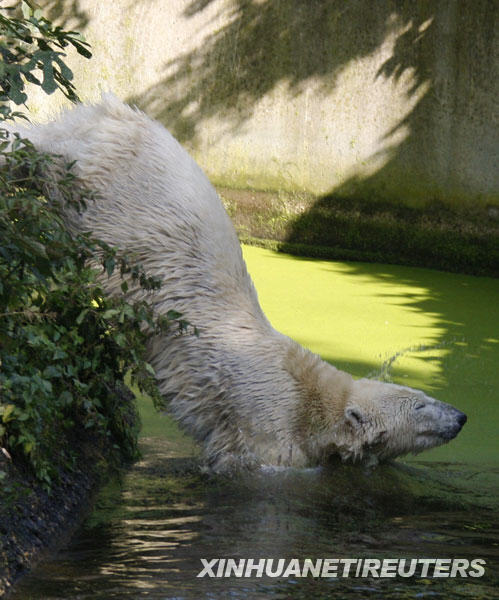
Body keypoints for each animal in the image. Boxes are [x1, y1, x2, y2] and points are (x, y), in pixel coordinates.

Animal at [0, 97, 468, 474]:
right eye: (421, 406)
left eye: (424, 393)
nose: (462, 416)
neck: (311, 401)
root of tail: (119, 113)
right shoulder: (265, 425)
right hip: (109, 183)